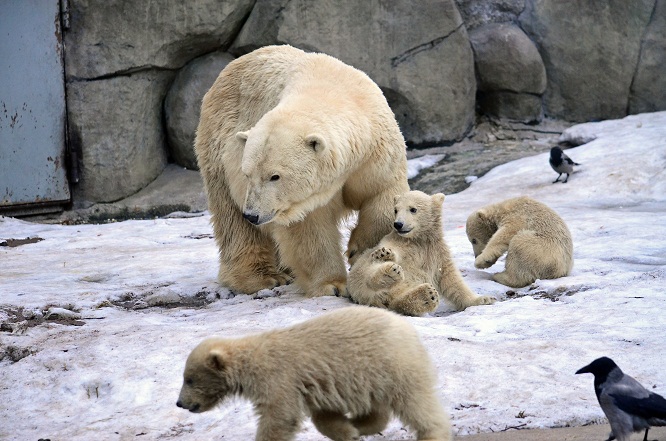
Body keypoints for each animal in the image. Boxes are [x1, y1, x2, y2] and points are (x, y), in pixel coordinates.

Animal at [195, 45, 408, 296]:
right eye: (248, 174)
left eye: (274, 176)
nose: (253, 214)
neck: (330, 90)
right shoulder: (298, 200)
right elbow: (309, 228)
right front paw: (333, 284)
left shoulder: (376, 152)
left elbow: (382, 196)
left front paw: (360, 250)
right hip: (220, 147)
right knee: (233, 219)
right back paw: (262, 277)